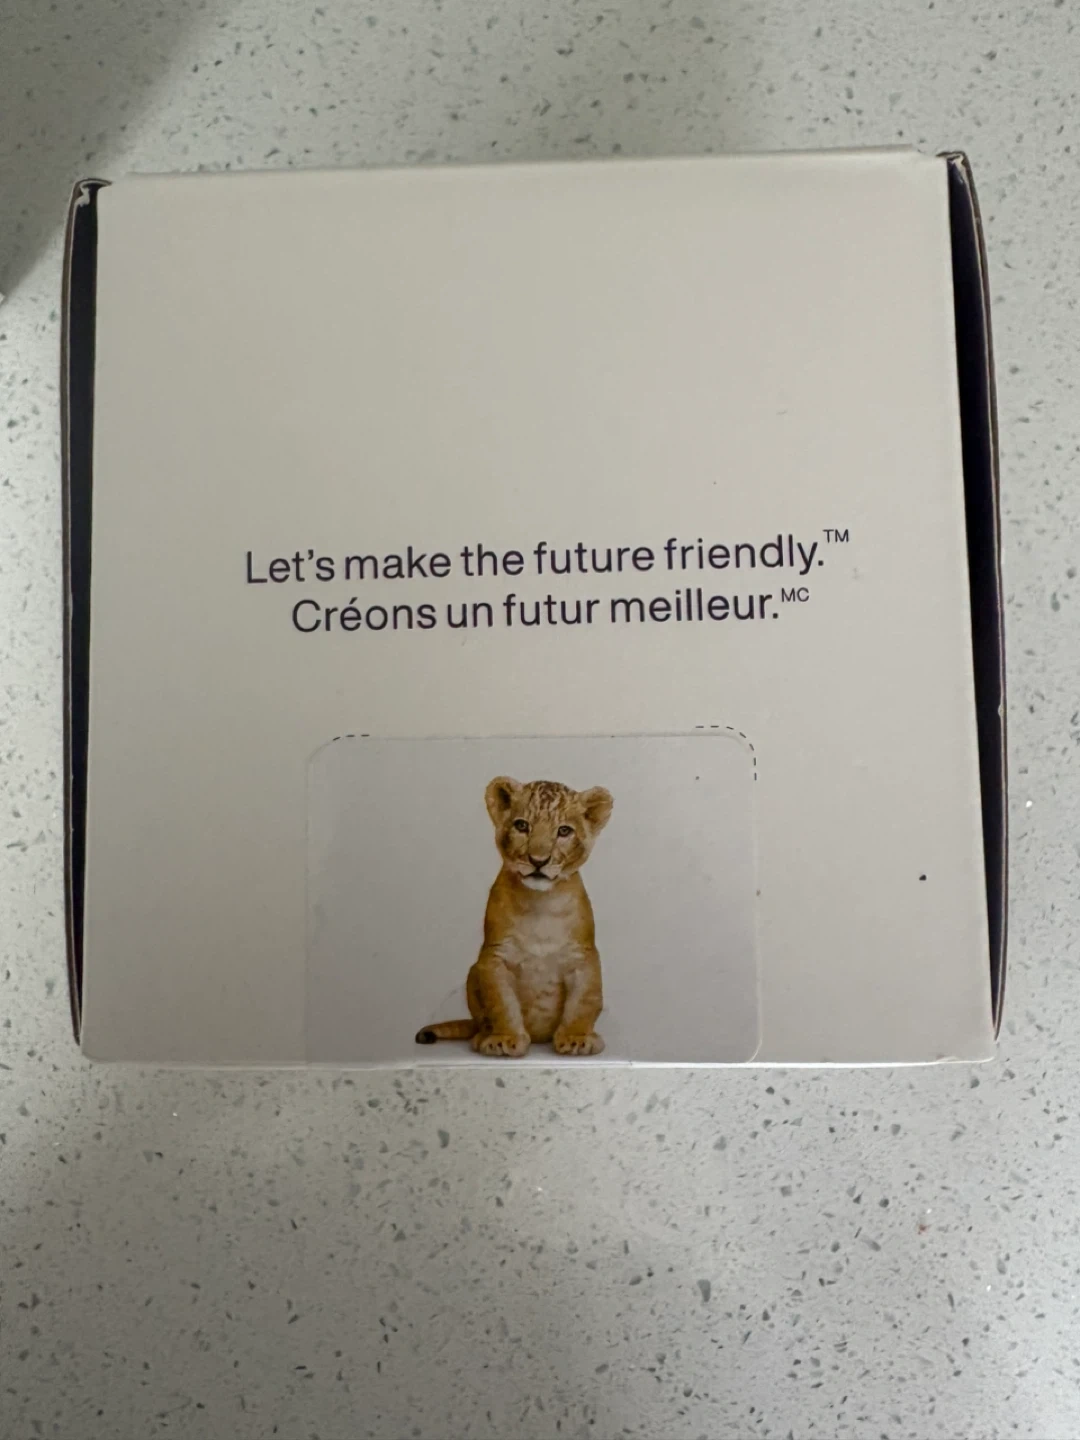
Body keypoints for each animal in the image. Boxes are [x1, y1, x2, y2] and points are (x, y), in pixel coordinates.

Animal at [415, 776, 613, 1057]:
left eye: (564, 831)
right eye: (522, 826)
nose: (538, 861)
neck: (540, 903)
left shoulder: (584, 957)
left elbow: (583, 1001)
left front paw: (577, 1038)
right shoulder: (494, 957)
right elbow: (502, 1003)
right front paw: (504, 1039)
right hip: (473, 972)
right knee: (479, 1020)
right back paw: (482, 1036)